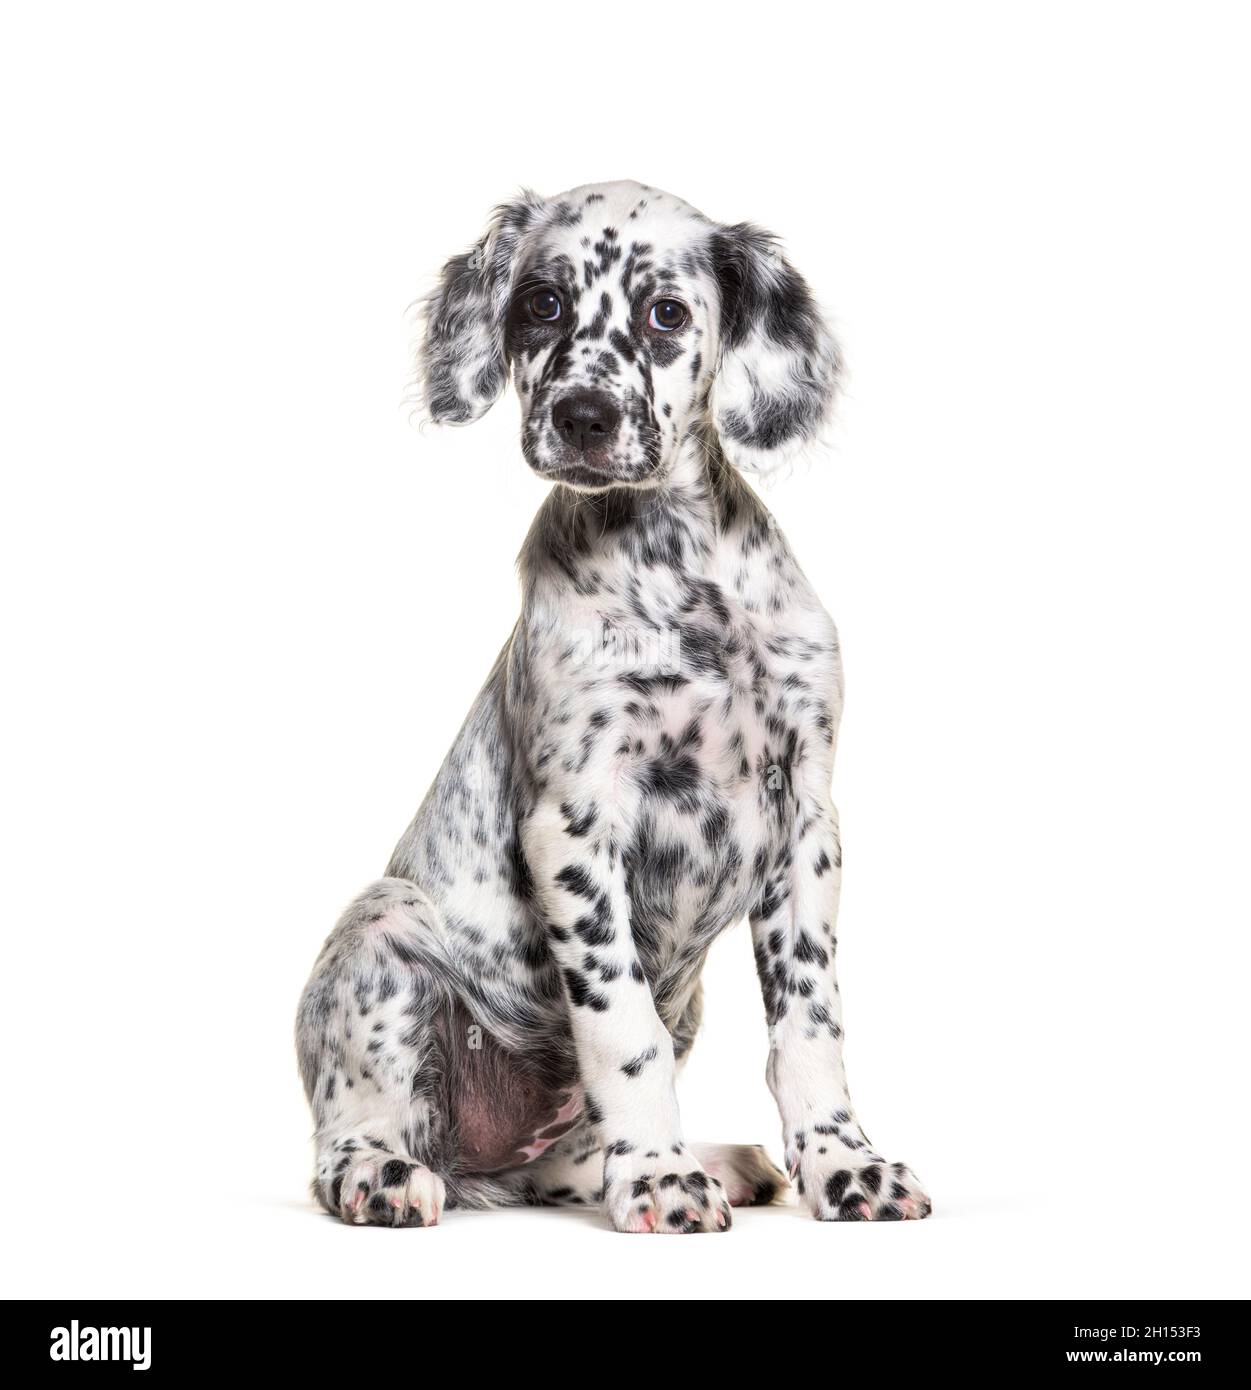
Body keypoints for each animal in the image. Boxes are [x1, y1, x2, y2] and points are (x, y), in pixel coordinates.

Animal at [296, 179, 928, 1234]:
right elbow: (621, 1031)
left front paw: (844, 1165)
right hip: (382, 930)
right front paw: (660, 1180)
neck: (681, 580)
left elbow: (808, 1024)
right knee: (354, 1129)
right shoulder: (575, 822)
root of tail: (482, 1168)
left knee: (563, 1164)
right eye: (542, 304)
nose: (582, 415)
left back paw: (715, 1159)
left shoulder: (807, 819)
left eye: (666, 315)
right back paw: (382, 1175)